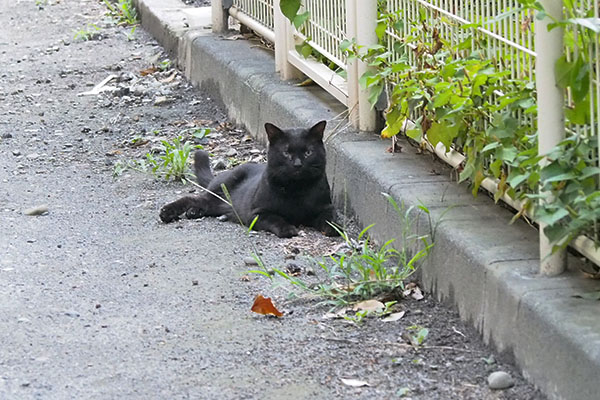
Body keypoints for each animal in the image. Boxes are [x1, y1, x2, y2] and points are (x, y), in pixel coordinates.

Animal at [159, 119, 338, 238]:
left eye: (308, 152)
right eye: (286, 152)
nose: (298, 164)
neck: (297, 190)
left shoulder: (325, 207)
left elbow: (329, 218)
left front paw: (334, 229)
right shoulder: (257, 213)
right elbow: (276, 218)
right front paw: (288, 229)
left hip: (219, 204)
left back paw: (193, 212)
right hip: (220, 192)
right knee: (193, 198)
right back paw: (167, 212)